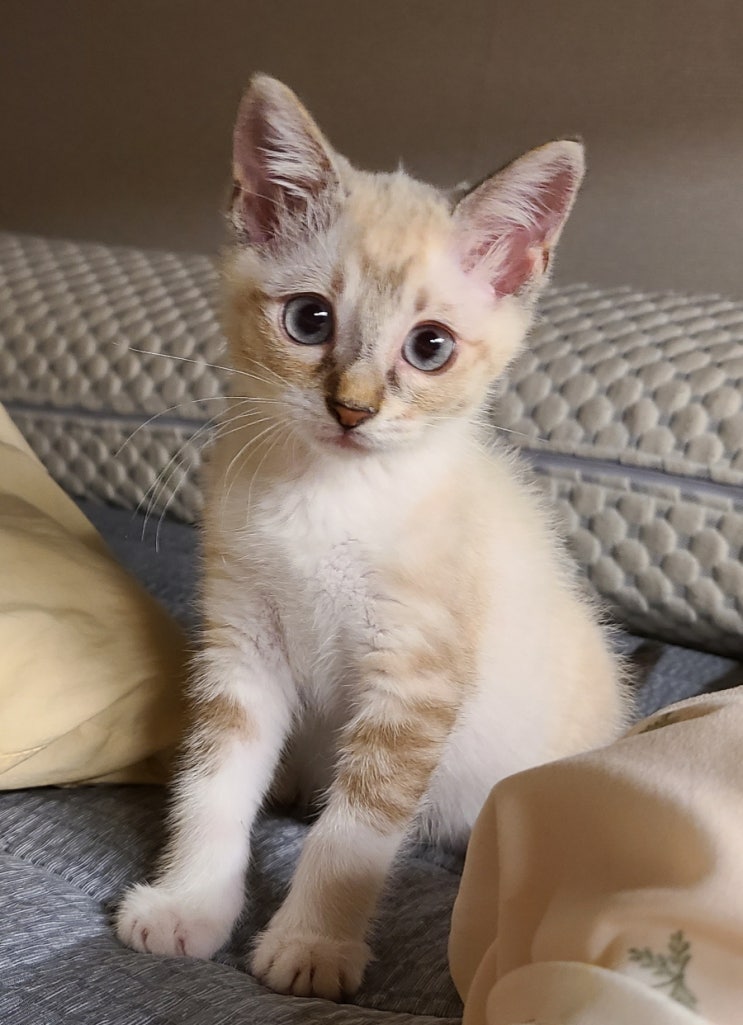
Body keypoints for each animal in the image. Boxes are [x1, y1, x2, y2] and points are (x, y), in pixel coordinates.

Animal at [115, 74, 630, 1001]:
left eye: (429, 347)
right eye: (308, 320)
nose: (351, 408)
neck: (328, 498)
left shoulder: (414, 680)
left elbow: (350, 832)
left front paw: (312, 945)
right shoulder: (241, 644)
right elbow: (212, 784)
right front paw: (188, 906)